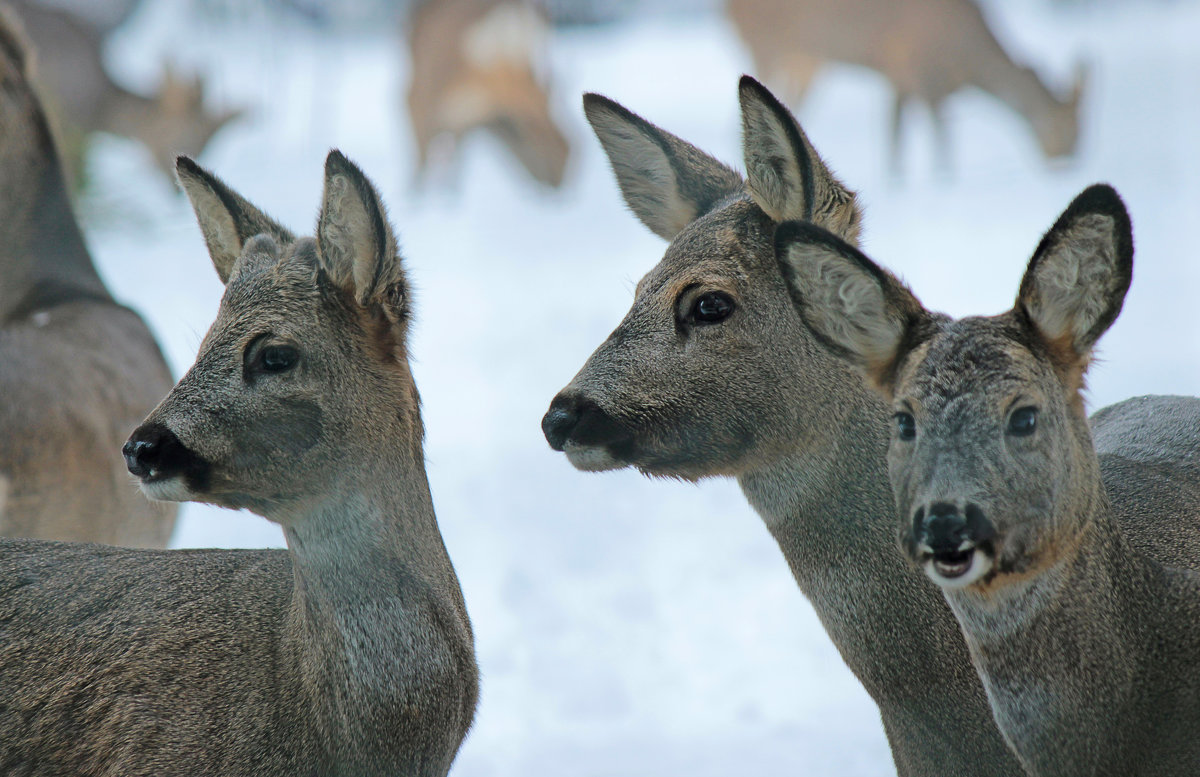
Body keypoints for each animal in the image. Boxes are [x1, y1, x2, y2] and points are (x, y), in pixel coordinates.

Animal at [724, 0, 1094, 171]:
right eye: (1069, 130)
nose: (1068, 163)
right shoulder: (916, 70)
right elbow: (935, 139)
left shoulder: (903, 77)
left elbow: (897, 139)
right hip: (767, 44)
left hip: (806, 60)